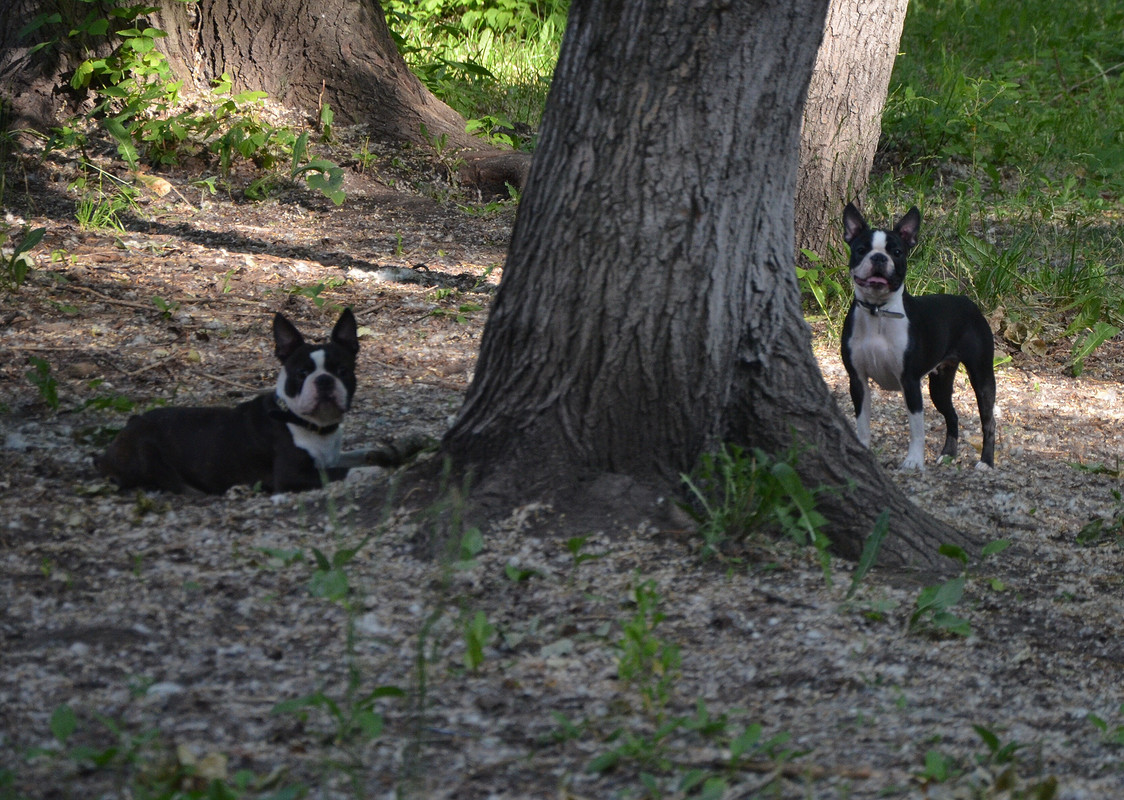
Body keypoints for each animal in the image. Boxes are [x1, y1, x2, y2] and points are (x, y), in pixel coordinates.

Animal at [98, 307, 366, 489]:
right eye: (301, 373)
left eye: (343, 371)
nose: (324, 380)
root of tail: (129, 425)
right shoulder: (293, 476)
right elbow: (348, 471)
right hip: (148, 454)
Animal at [840, 200, 998, 471]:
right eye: (861, 250)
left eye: (897, 252)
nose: (879, 257)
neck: (878, 311)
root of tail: (967, 301)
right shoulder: (857, 380)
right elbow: (862, 423)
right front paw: (863, 451)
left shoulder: (910, 381)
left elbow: (916, 428)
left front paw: (913, 460)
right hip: (940, 384)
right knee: (952, 415)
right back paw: (948, 454)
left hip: (982, 376)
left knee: (988, 421)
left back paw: (986, 462)